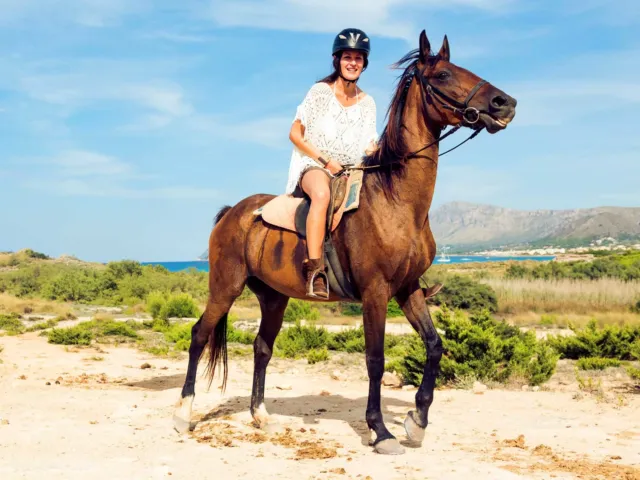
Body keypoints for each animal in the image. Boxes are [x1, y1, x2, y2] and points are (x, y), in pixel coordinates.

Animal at [173, 29, 517, 455]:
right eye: (442, 75)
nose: (505, 103)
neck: (396, 200)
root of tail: (232, 213)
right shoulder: (375, 292)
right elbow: (375, 359)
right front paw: (381, 431)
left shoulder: (407, 289)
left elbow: (434, 346)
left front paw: (417, 421)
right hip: (225, 287)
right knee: (199, 336)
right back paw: (183, 414)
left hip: (274, 297)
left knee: (261, 347)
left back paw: (261, 415)